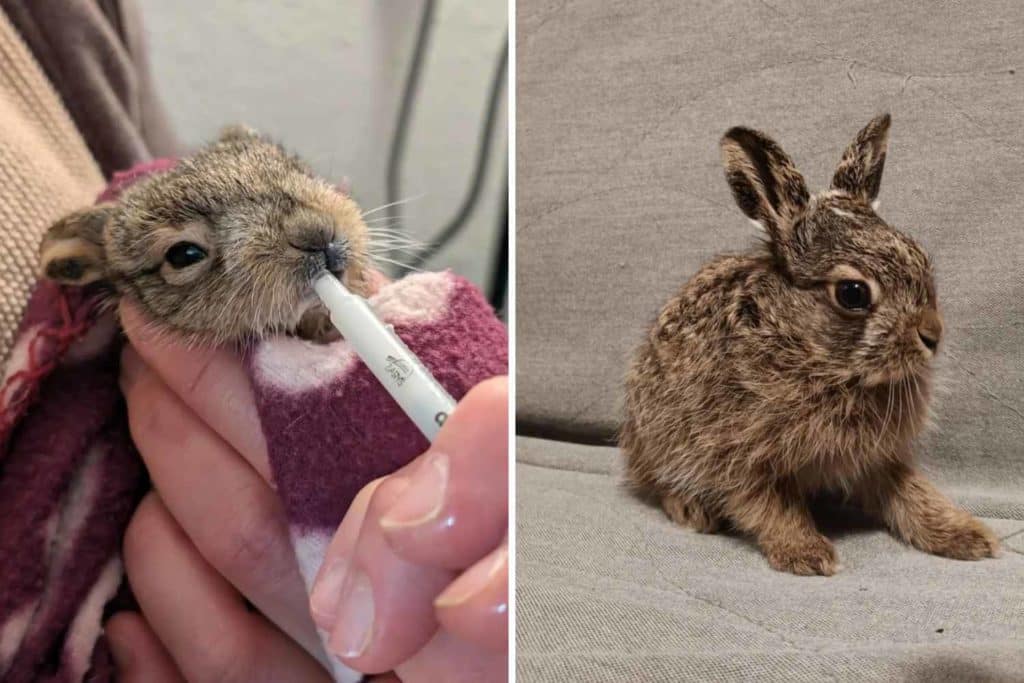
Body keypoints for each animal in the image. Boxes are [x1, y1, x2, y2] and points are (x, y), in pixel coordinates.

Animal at [620, 114, 999, 576]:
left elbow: (911, 492)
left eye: (921, 260)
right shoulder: (741, 456)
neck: (812, 352)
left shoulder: (877, 456)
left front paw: (968, 536)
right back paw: (692, 510)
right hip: (659, 442)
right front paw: (807, 554)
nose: (933, 335)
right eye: (853, 293)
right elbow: (770, 505)